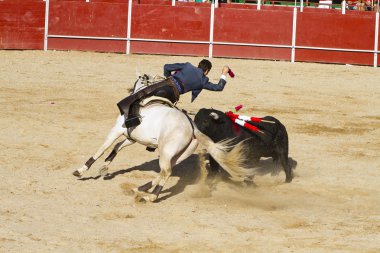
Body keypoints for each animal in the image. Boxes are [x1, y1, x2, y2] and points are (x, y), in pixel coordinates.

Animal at [72, 74, 254, 203]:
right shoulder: (131, 137)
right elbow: (117, 148)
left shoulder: (117, 130)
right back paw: (140, 189)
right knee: (164, 171)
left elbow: (103, 148)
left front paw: (81, 170)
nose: (130, 89)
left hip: (166, 151)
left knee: (166, 172)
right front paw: (104, 168)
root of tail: (192, 127)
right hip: (179, 154)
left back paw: (149, 196)